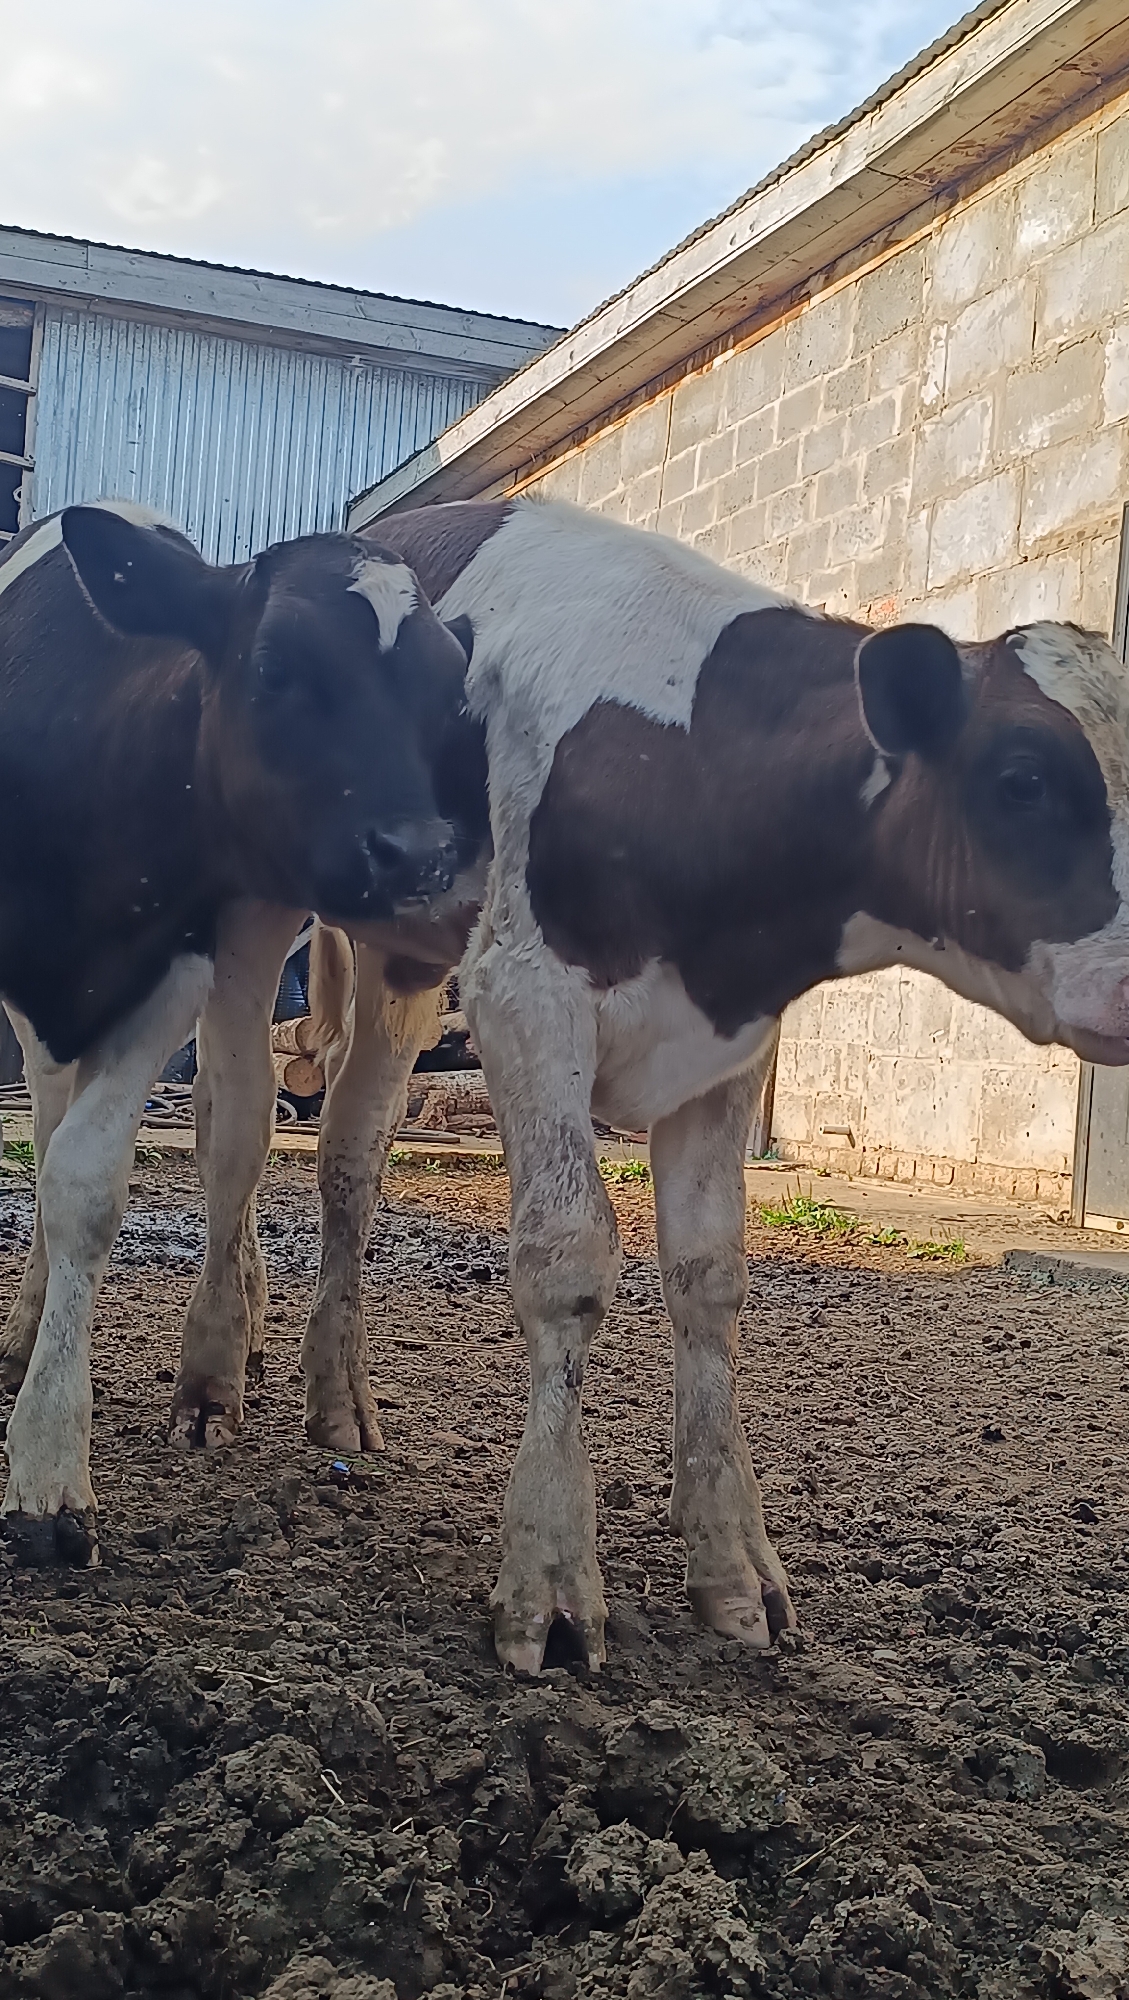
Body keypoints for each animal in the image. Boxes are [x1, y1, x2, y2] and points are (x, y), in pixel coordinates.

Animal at [0, 500, 482, 1564]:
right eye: (274, 668)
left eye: (445, 690)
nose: (424, 859)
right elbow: (53, 1165)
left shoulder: (175, 967)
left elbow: (85, 1187)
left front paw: (49, 1474)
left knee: (235, 1119)